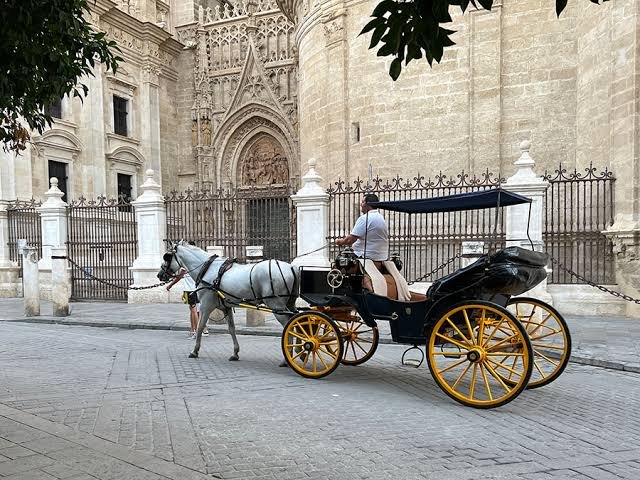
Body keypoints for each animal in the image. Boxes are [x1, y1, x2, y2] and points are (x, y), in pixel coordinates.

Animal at [157, 241, 298, 361]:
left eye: (167, 257)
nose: (159, 275)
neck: (207, 269)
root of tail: (292, 268)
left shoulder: (206, 305)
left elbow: (200, 326)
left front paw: (194, 351)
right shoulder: (226, 307)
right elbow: (231, 328)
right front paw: (235, 353)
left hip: (277, 306)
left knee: (288, 326)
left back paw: (287, 358)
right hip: (289, 304)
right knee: (295, 322)